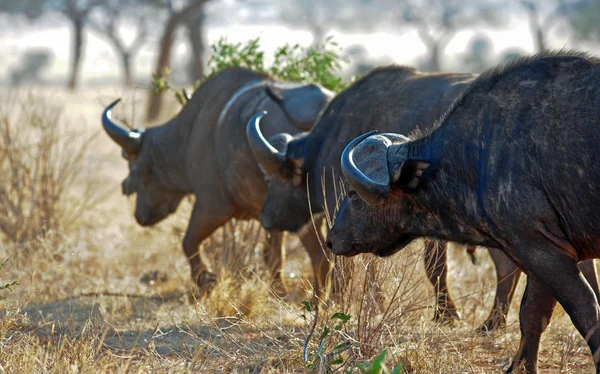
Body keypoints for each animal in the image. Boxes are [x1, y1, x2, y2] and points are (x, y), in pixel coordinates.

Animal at [101, 66, 332, 296]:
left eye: (135, 168)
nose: (139, 216)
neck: (188, 135)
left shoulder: (213, 208)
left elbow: (189, 242)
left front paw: (205, 280)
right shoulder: (275, 216)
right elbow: (273, 256)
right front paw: (279, 292)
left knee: (321, 256)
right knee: (324, 256)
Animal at [248, 65, 524, 328]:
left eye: (273, 179)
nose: (265, 218)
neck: (327, 143)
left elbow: (350, 266)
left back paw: (492, 321)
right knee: (509, 265)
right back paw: (494, 321)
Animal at [330, 51, 600, 372]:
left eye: (352, 194)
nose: (331, 239)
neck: (479, 154)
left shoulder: (540, 249)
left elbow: (586, 311)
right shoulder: (543, 252)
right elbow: (532, 315)